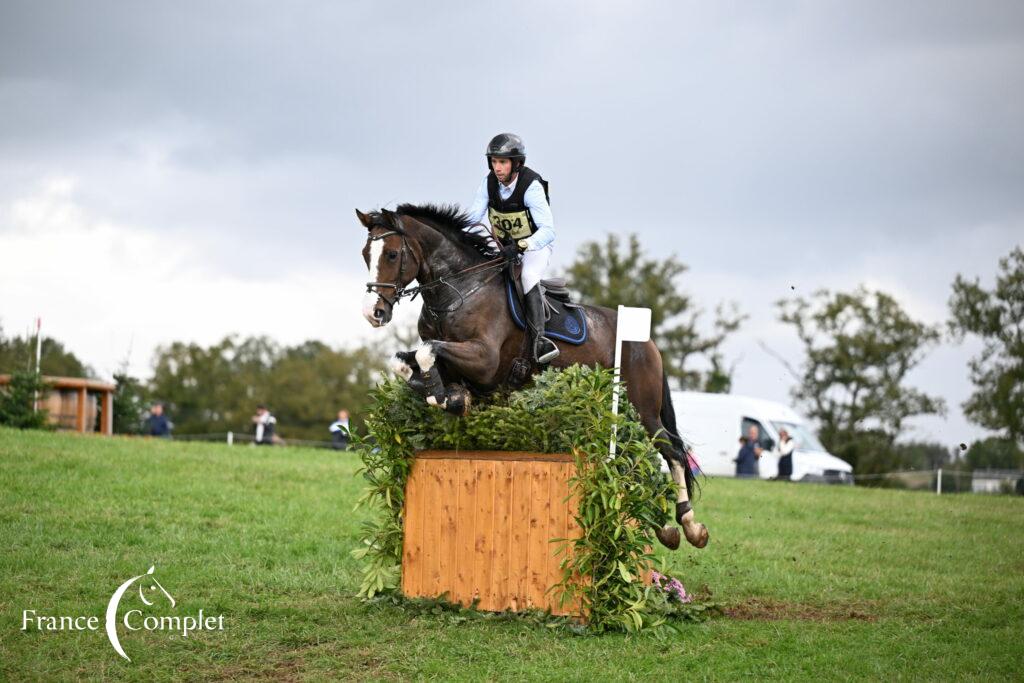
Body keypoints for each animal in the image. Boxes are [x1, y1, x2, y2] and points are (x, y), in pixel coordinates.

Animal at [356, 202, 708, 548]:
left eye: (391, 255)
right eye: (365, 254)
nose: (373, 314)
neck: (459, 291)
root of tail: (649, 344)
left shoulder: (484, 358)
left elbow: (427, 351)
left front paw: (446, 395)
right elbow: (407, 361)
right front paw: (452, 396)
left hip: (642, 409)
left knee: (673, 453)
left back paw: (690, 526)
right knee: (632, 460)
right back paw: (662, 527)